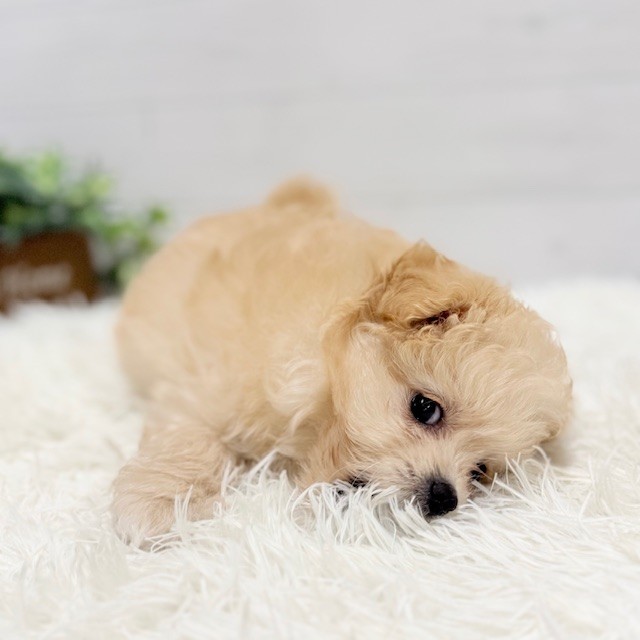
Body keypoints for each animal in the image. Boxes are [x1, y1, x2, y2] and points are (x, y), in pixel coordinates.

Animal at [112, 178, 572, 546]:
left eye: (480, 471)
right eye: (425, 408)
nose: (444, 498)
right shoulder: (200, 386)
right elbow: (187, 439)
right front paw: (161, 504)